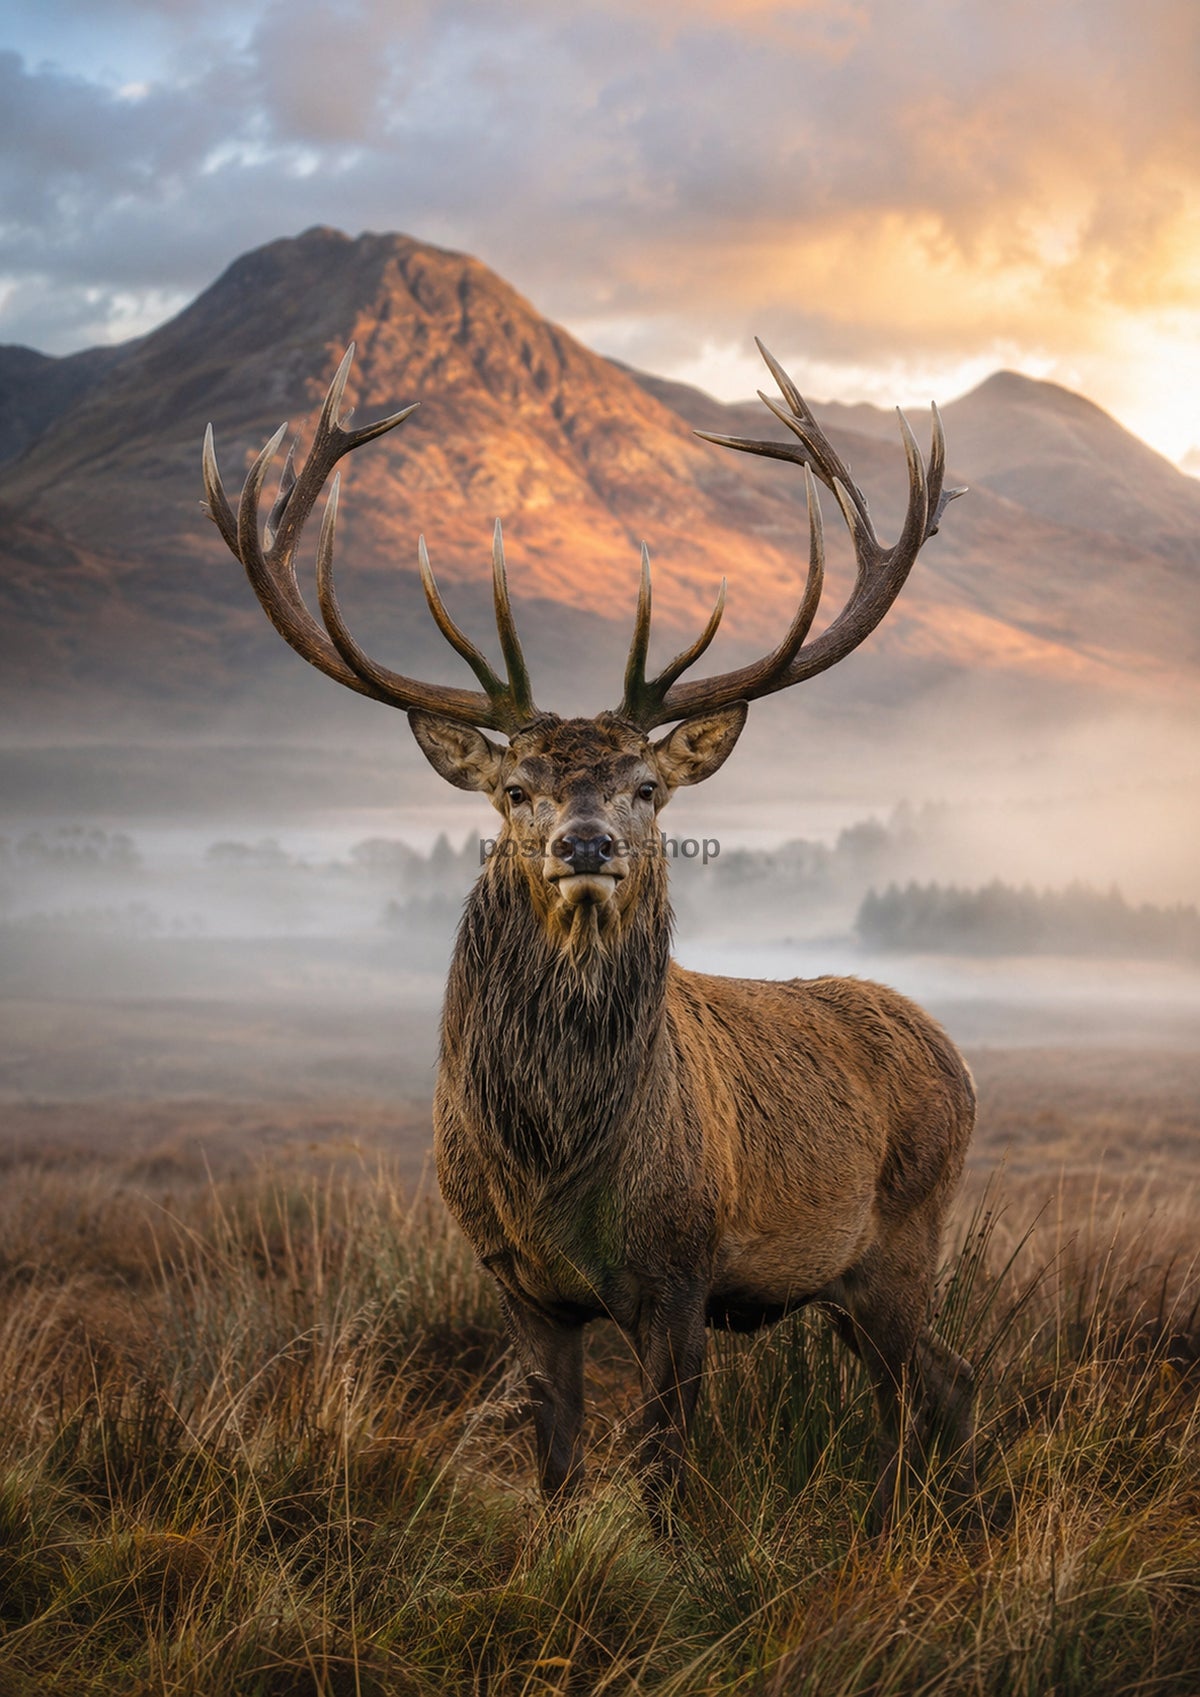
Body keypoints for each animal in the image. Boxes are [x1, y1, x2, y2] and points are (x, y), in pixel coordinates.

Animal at [202, 340, 976, 1535]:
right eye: (515, 786)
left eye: (647, 786)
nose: (585, 841)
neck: (556, 1165)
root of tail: (956, 1057)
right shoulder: (515, 1282)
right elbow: (557, 1464)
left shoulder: (683, 1271)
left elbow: (660, 1476)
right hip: (851, 1281)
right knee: (950, 1379)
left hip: (905, 1234)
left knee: (915, 1393)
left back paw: (898, 1525)